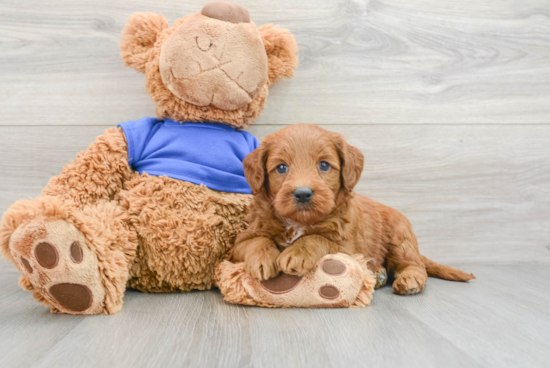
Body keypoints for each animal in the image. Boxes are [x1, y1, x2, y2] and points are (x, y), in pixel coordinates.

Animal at [233, 125, 474, 294]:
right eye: (281, 167)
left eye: (324, 165)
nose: (302, 193)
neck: (299, 222)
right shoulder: (241, 240)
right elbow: (256, 241)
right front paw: (262, 259)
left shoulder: (349, 248)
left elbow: (317, 238)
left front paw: (297, 253)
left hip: (400, 238)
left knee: (414, 265)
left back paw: (409, 280)